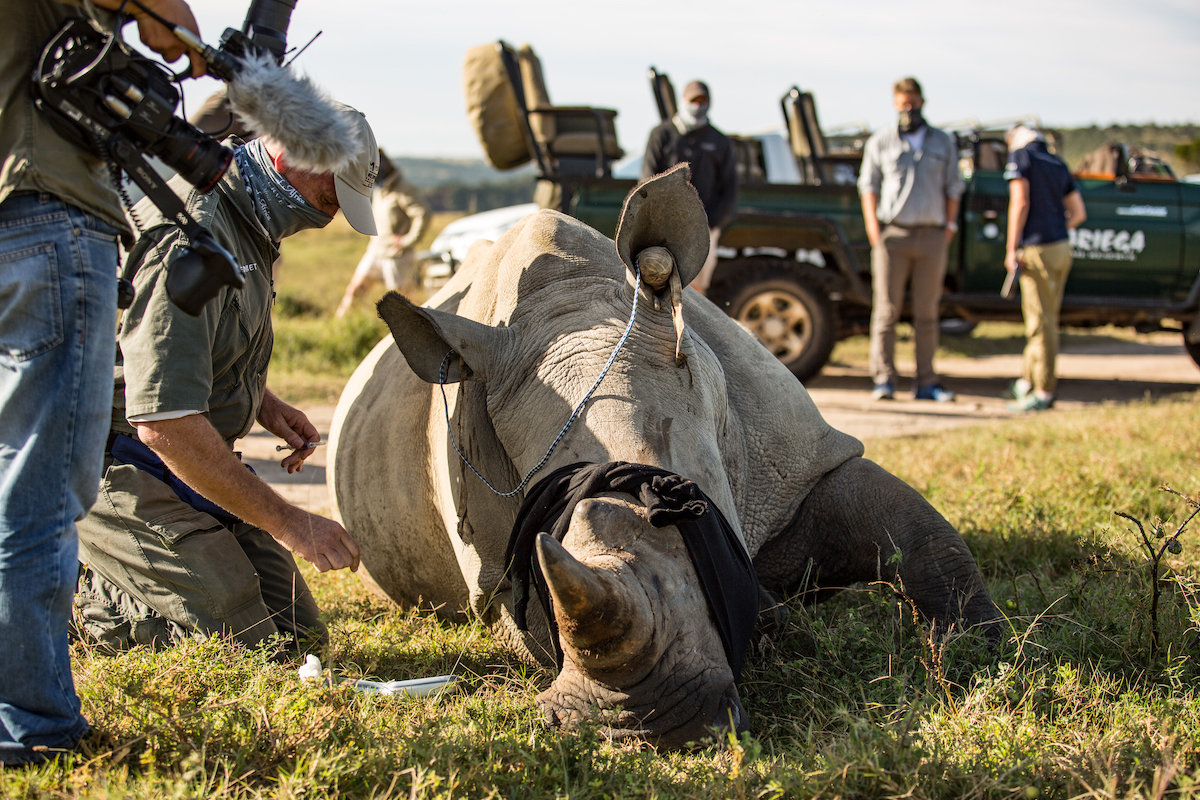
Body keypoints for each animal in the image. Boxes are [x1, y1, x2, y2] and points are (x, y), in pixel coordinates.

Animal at [326, 165, 993, 748]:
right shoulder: (495, 571)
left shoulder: (798, 457)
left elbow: (921, 534)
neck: (575, 303)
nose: (642, 726)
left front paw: (979, 647)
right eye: (546, 519)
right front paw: (771, 618)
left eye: (695, 510)